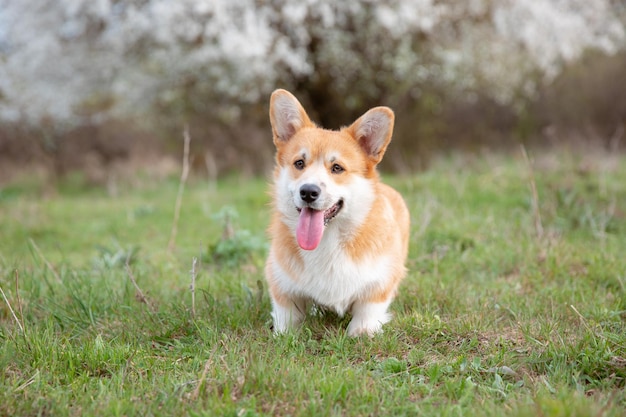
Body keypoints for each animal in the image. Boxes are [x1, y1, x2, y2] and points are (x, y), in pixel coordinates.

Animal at [264, 89, 410, 336]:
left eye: (337, 168)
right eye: (299, 163)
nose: (308, 192)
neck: (327, 239)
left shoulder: (380, 282)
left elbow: (368, 310)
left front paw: (362, 332)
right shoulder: (281, 283)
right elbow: (287, 315)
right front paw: (285, 333)